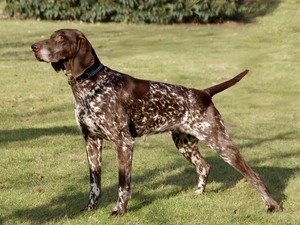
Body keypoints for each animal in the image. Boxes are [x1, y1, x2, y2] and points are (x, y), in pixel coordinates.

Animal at [30, 29, 282, 215]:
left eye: (61, 38)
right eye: (52, 36)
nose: (33, 47)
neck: (90, 85)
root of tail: (203, 93)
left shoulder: (123, 143)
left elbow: (123, 185)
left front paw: (119, 211)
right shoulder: (91, 141)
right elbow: (95, 183)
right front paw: (90, 209)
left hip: (220, 142)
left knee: (253, 175)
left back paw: (272, 206)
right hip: (184, 143)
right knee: (204, 166)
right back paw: (199, 194)